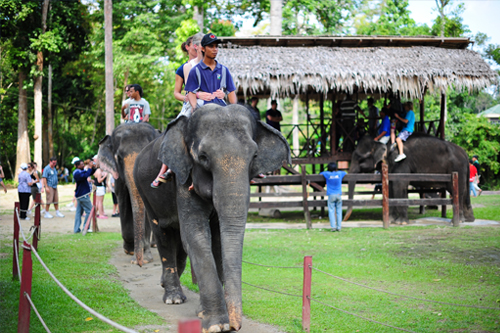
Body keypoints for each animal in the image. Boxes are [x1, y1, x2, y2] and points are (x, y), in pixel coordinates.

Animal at [97, 120, 160, 264]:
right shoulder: (118, 178)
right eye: (119, 158)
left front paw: (145, 257)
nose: (138, 262)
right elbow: (123, 200)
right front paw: (130, 251)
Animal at [133, 104, 292, 332]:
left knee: (179, 242)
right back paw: (173, 298)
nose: (236, 326)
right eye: (203, 157)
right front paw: (217, 325)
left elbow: (216, 241)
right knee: (163, 235)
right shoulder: (183, 177)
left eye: (254, 156)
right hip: (145, 190)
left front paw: (205, 313)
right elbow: (197, 236)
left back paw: (167, 285)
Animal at [346, 132, 474, 223]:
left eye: (360, 158)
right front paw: (391, 220)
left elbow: (399, 186)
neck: (384, 145)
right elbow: (391, 187)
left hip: (457, 169)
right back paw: (468, 220)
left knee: (458, 191)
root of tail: (464, 153)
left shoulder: (401, 163)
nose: (345, 219)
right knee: (464, 192)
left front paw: (401, 222)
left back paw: (457, 221)